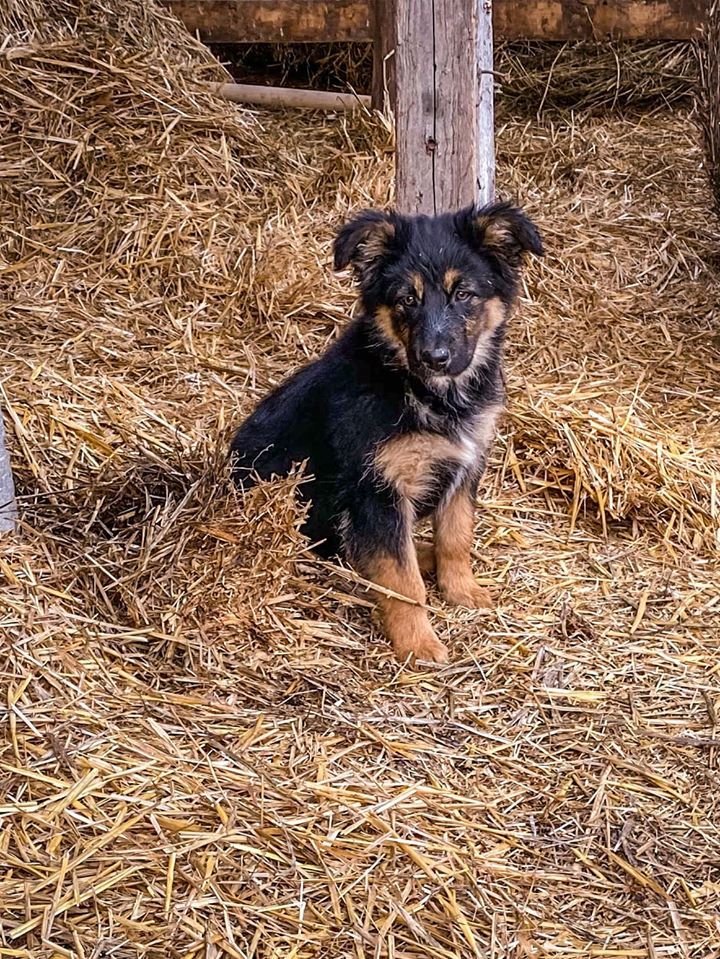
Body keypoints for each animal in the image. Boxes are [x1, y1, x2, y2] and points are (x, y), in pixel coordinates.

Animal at [231, 203, 540, 664]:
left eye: (464, 294)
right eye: (406, 299)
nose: (434, 357)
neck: (426, 392)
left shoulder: (466, 466)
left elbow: (456, 536)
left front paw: (462, 590)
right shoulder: (378, 490)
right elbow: (401, 579)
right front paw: (419, 644)